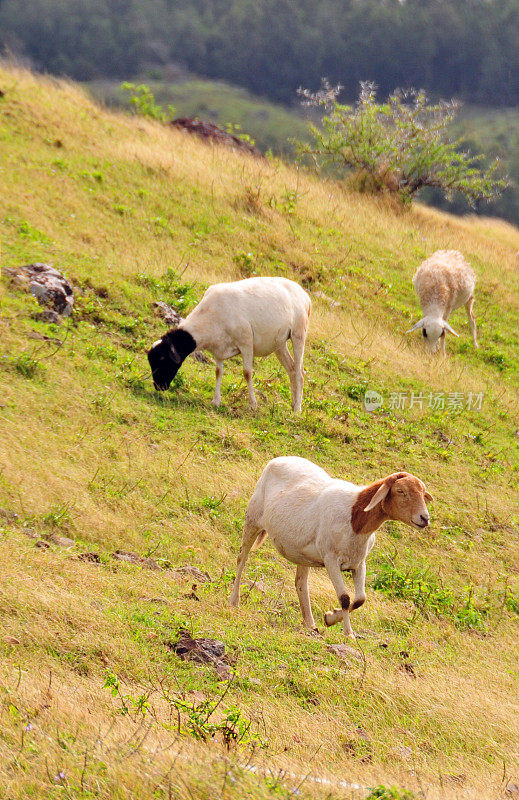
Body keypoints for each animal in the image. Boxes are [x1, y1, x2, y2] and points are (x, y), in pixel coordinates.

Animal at [146, 276, 310, 412]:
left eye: (163, 359)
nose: (159, 386)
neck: (209, 316)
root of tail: (304, 295)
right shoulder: (218, 349)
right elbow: (218, 372)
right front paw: (216, 401)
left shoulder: (246, 342)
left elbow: (247, 373)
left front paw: (253, 404)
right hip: (279, 343)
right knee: (291, 369)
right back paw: (293, 404)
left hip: (299, 334)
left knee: (299, 372)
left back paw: (297, 409)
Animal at [230, 460, 432, 640]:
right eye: (401, 491)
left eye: (423, 493)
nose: (424, 518)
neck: (354, 518)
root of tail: (277, 459)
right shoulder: (331, 560)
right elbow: (345, 598)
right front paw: (347, 633)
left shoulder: (359, 563)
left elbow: (360, 599)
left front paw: (330, 617)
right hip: (252, 519)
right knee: (242, 558)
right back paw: (234, 601)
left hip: (302, 553)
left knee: (300, 582)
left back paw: (310, 624)